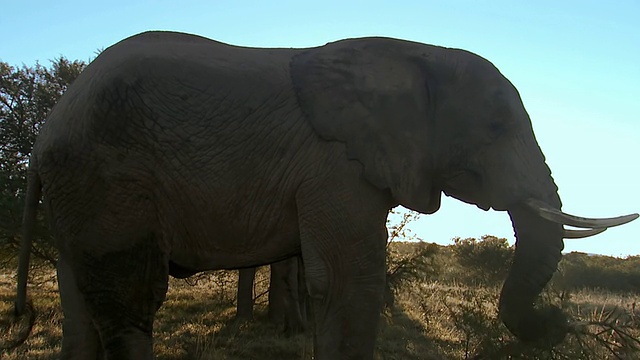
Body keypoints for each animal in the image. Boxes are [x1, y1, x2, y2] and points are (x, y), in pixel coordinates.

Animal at [13, 31, 636, 360]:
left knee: (79, 297)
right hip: (111, 179)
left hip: (84, 192)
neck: (412, 56)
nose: (565, 324)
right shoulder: (335, 169)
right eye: (497, 127)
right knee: (132, 297)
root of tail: (44, 133)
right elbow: (350, 283)